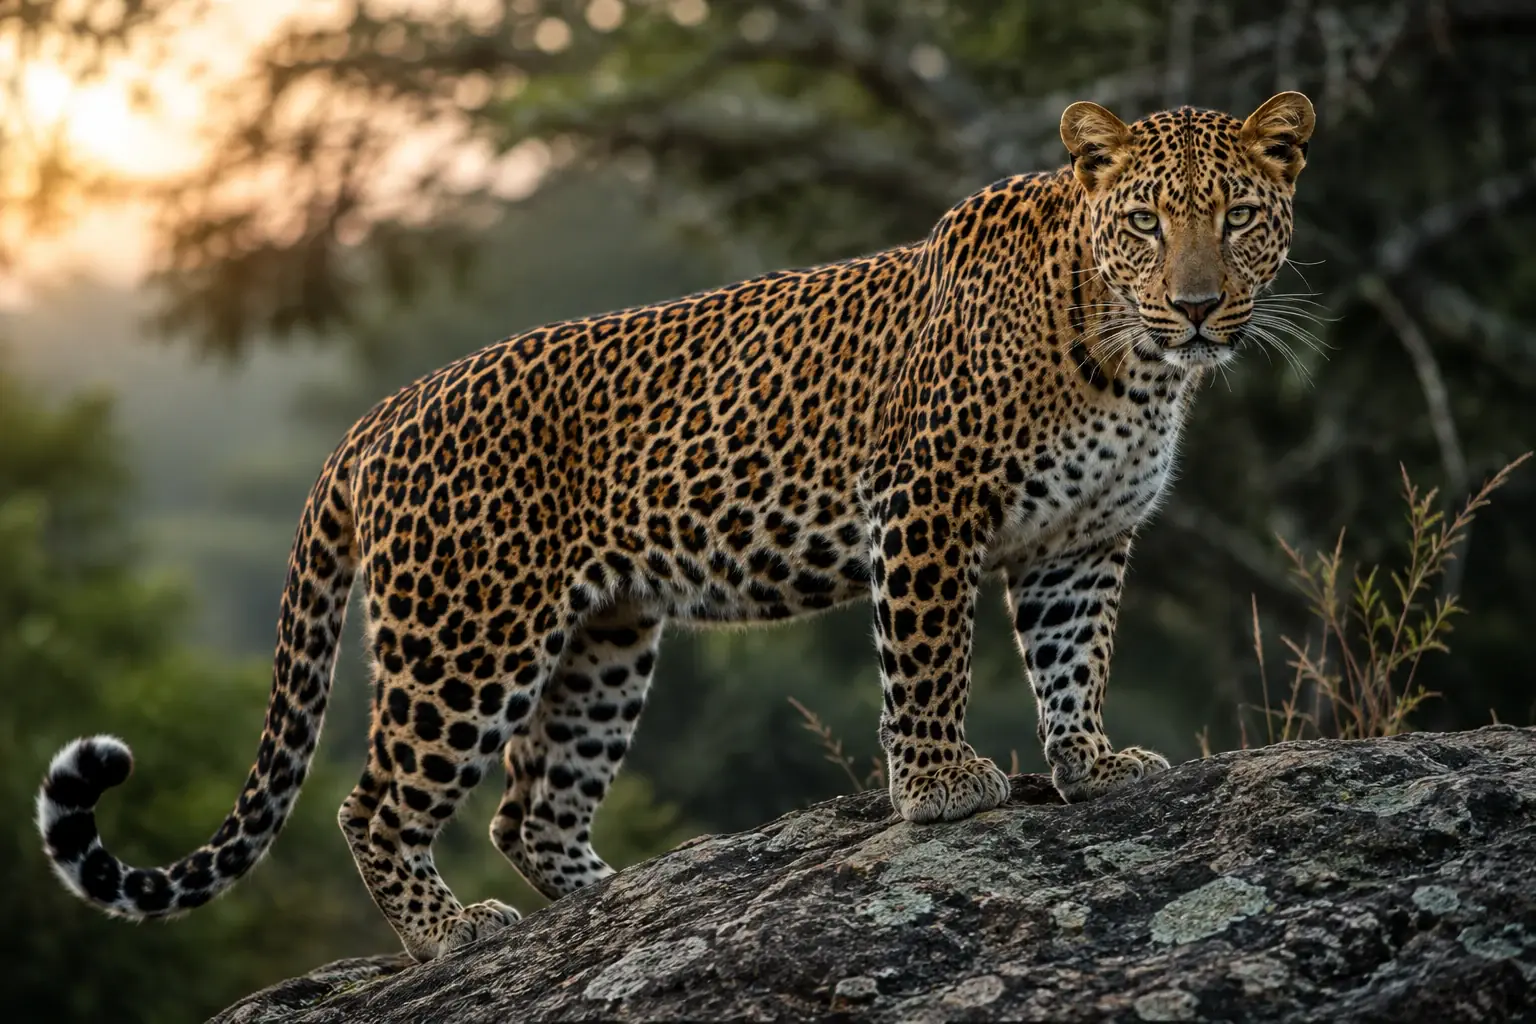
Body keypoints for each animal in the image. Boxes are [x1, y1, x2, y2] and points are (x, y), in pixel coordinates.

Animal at [38, 91, 1315, 962]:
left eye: (1240, 216)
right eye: (1144, 222)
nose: (1200, 305)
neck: (1130, 363)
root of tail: (374, 417)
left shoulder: (1081, 542)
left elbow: (1072, 658)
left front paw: (1093, 763)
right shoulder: (927, 507)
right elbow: (929, 661)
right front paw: (941, 783)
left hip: (605, 638)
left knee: (532, 805)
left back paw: (626, 897)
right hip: (468, 638)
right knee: (377, 801)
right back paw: (452, 934)